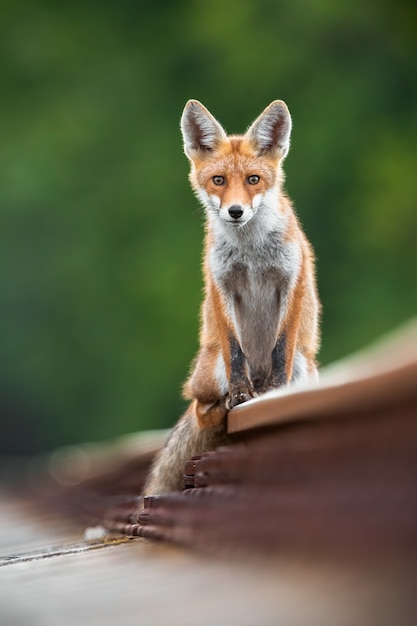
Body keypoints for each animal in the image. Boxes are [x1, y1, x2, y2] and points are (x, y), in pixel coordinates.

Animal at [142, 100, 318, 494]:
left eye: (253, 180)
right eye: (219, 180)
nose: (235, 212)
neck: (251, 252)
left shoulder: (292, 280)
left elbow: (281, 348)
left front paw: (274, 390)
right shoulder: (221, 285)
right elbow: (235, 351)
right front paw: (239, 394)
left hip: (306, 366)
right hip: (210, 372)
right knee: (199, 409)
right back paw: (225, 404)